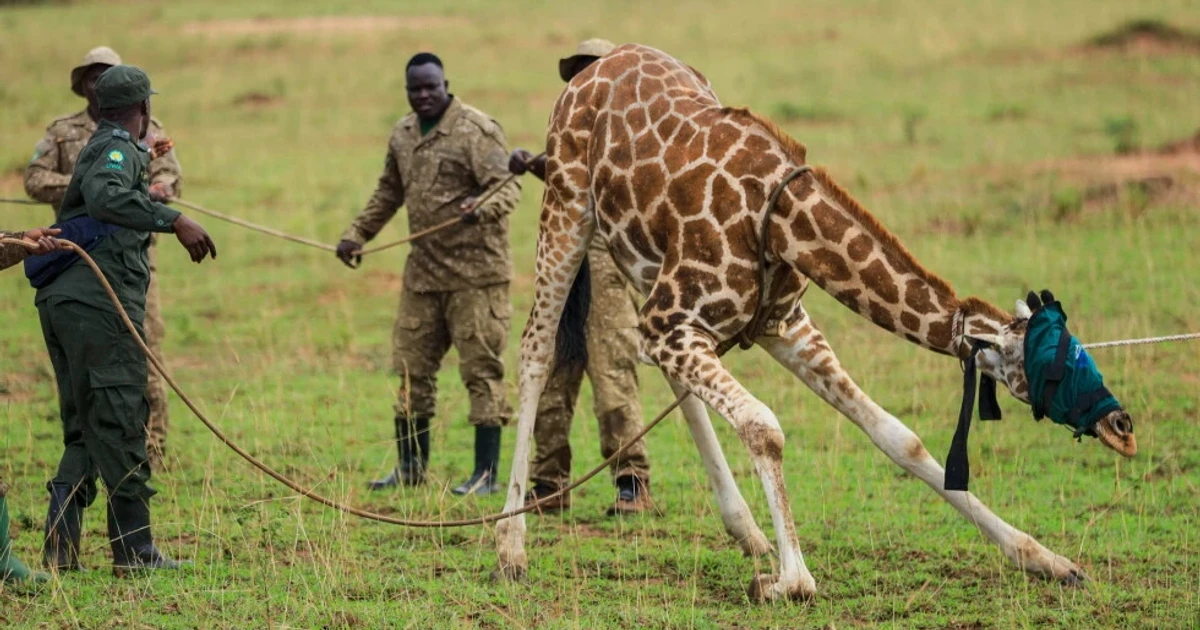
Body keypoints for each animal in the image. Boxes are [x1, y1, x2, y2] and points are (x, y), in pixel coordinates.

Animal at [495, 44, 1137, 601]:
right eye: (1056, 366)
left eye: (1080, 347)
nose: (1123, 429)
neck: (782, 221)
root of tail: (592, 65)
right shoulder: (674, 321)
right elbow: (764, 425)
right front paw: (790, 580)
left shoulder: (782, 327)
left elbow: (899, 437)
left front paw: (1048, 560)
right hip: (568, 209)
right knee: (534, 352)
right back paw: (510, 545)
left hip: (640, 260)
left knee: (663, 372)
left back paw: (747, 530)